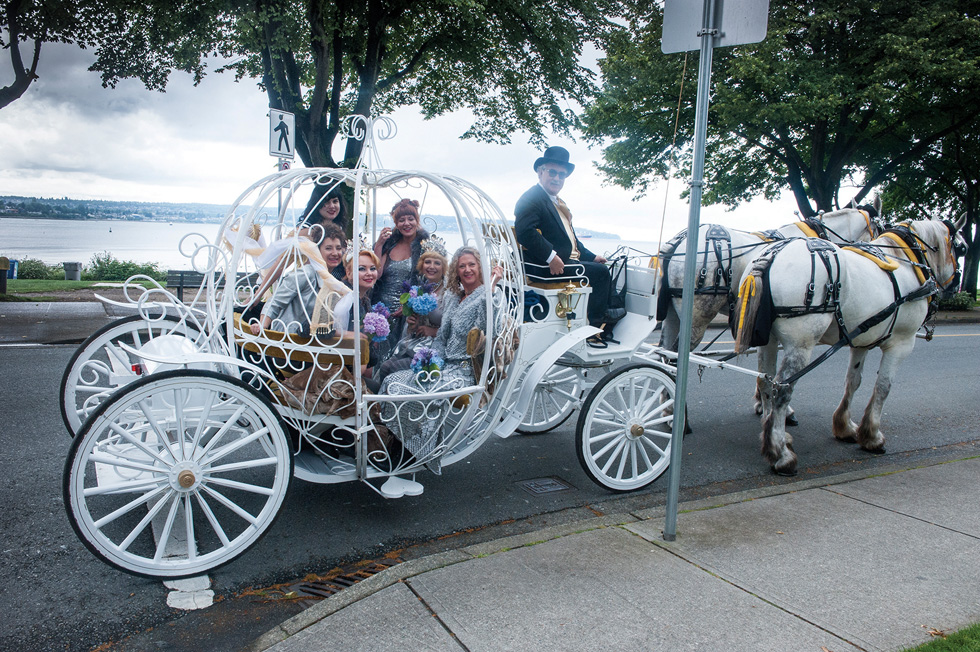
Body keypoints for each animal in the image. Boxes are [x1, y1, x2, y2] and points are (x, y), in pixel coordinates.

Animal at [736, 218, 964, 474]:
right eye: (961, 248)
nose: (956, 284)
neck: (906, 263)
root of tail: (770, 256)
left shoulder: (861, 341)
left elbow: (853, 382)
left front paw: (844, 426)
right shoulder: (902, 343)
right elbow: (883, 387)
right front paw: (872, 436)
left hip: (768, 341)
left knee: (765, 382)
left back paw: (776, 435)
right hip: (800, 344)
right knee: (782, 390)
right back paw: (780, 454)